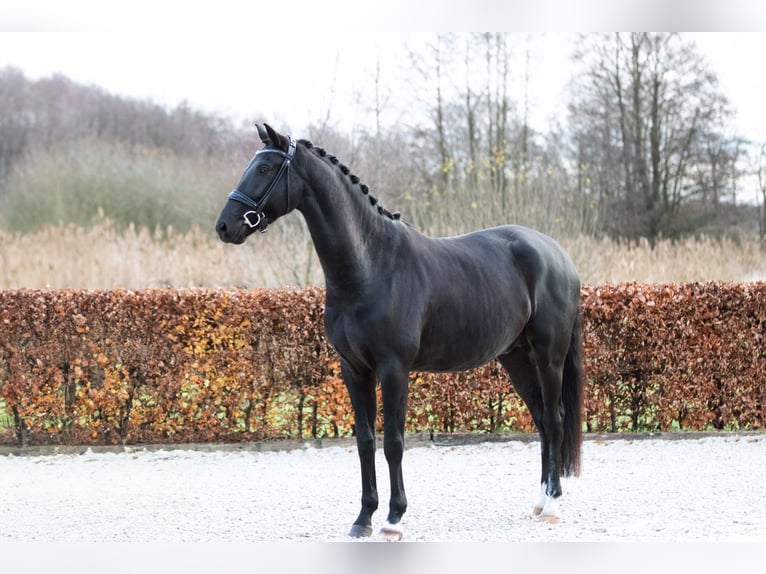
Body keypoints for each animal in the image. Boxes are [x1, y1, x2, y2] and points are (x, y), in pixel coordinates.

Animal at [219, 124, 584, 544]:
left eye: (264, 168)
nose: (225, 226)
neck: (371, 266)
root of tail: (558, 255)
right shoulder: (354, 370)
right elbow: (365, 441)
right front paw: (363, 518)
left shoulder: (394, 369)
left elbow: (394, 442)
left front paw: (393, 519)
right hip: (516, 357)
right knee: (541, 420)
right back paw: (539, 501)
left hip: (548, 355)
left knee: (554, 420)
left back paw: (553, 505)